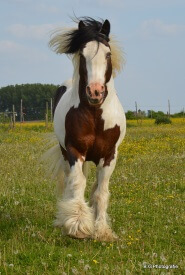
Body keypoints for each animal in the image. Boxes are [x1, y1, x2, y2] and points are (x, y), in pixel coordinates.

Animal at [47, 17, 126, 242]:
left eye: (108, 54)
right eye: (82, 55)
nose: (95, 92)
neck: (95, 114)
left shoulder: (109, 156)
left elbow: (101, 192)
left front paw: (101, 231)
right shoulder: (75, 152)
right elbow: (77, 185)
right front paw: (78, 226)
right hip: (66, 155)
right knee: (70, 182)